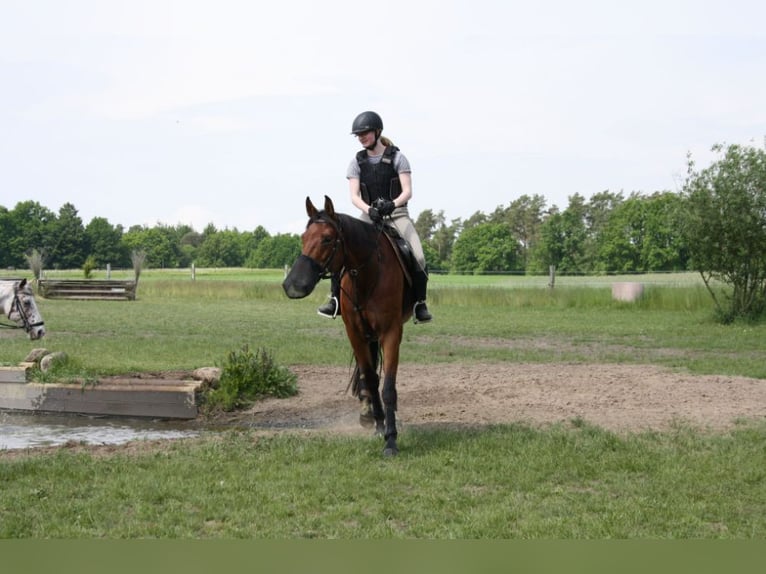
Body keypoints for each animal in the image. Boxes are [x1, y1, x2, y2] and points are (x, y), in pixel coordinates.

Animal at [282, 198, 414, 460]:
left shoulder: (391, 332)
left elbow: (388, 387)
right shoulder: (355, 334)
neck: (367, 276)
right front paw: (379, 425)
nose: (292, 286)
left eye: (327, 239)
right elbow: (371, 380)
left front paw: (391, 439)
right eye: (303, 237)